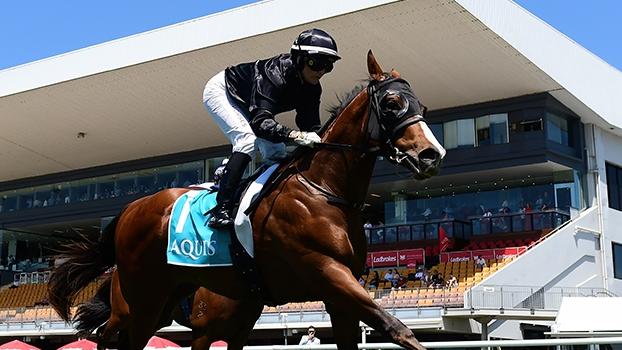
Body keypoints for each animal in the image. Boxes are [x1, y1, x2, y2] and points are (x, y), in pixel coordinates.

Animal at [50, 51, 448, 350]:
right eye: (392, 102)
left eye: (424, 106)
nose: (432, 155)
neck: (323, 189)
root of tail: (131, 208)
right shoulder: (325, 271)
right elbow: (397, 328)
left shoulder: (340, 291)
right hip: (143, 298)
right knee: (112, 337)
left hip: (166, 302)